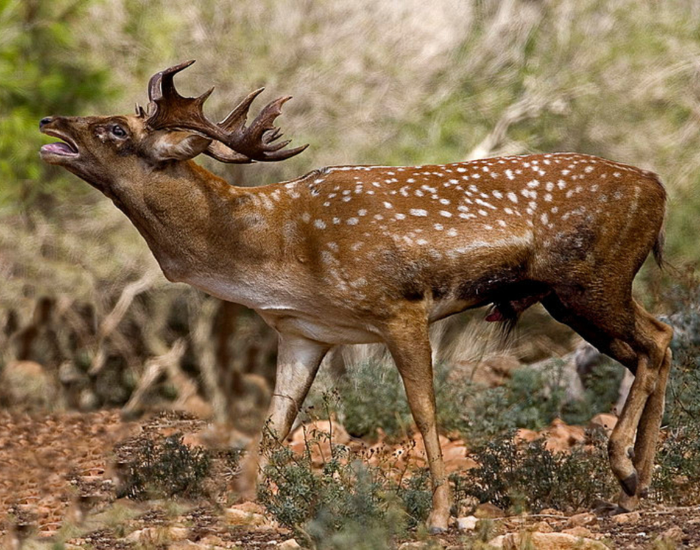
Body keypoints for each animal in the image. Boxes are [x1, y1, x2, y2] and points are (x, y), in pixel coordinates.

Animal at [39, 60, 673, 532]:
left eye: (117, 129)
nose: (50, 123)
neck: (273, 249)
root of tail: (658, 187)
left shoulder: (401, 307)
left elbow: (424, 411)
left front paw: (440, 515)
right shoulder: (302, 332)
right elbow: (275, 423)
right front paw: (245, 503)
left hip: (589, 283)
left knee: (655, 341)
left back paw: (625, 469)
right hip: (575, 294)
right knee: (660, 338)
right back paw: (636, 484)